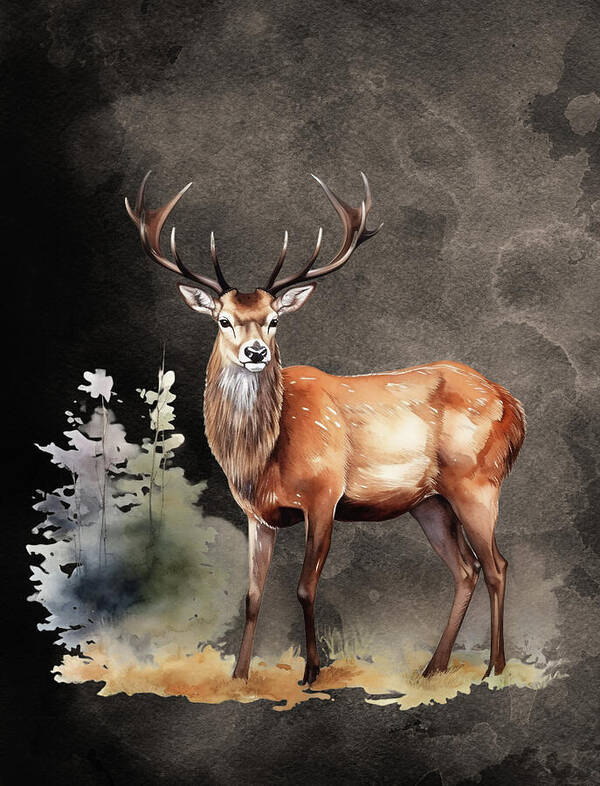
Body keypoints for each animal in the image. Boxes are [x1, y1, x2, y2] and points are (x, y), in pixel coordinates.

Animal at [125, 170, 525, 685]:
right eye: (224, 320)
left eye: (275, 320)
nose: (256, 352)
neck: (261, 461)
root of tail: (512, 405)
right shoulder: (256, 515)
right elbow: (252, 596)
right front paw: (239, 676)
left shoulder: (323, 495)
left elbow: (304, 587)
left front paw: (312, 671)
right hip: (430, 502)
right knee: (466, 570)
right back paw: (434, 667)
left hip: (478, 480)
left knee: (497, 565)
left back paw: (494, 667)